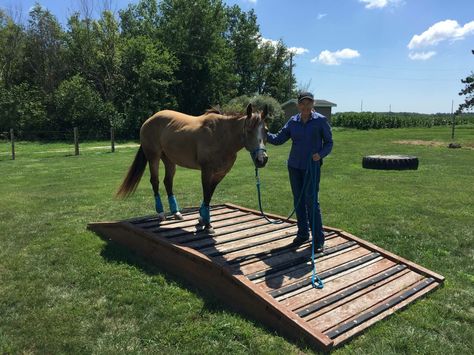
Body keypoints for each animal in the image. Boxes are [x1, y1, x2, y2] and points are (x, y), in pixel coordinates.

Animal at [116, 104, 268, 235]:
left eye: (266, 131)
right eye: (249, 130)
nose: (262, 159)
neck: (221, 136)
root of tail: (149, 120)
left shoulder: (220, 174)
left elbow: (209, 195)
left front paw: (202, 218)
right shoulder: (206, 171)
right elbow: (206, 195)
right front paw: (208, 224)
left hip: (169, 160)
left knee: (168, 182)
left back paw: (176, 212)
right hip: (153, 157)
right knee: (155, 181)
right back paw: (161, 213)